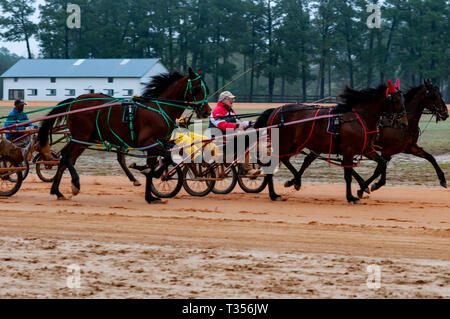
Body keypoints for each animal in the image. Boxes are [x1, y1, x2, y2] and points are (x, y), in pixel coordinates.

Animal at [37, 68, 211, 205]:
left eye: (206, 89)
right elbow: (166, 158)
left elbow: (157, 163)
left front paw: (150, 196)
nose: (207, 111)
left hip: (83, 139)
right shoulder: (148, 142)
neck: (159, 110)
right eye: (197, 88)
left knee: (66, 158)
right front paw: (152, 173)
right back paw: (75, 184)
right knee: (67, 156)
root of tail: (75, 100)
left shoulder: (155, 145)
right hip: (82, 137)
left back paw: (57, 191)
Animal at [253, 81, 408, 204]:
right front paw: (351, 197)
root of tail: (276, 109)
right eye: (396, 100)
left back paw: (295, 181)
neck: (358, 118)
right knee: (273, 164)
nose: (404, 123)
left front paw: (372, 185)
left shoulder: (366, 149)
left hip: (294, 144)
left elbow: (382, 163)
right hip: (283, 144)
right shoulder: (348, 150)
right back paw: (274, 194)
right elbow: (347, 174)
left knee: (285, 160)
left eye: (403, 99)